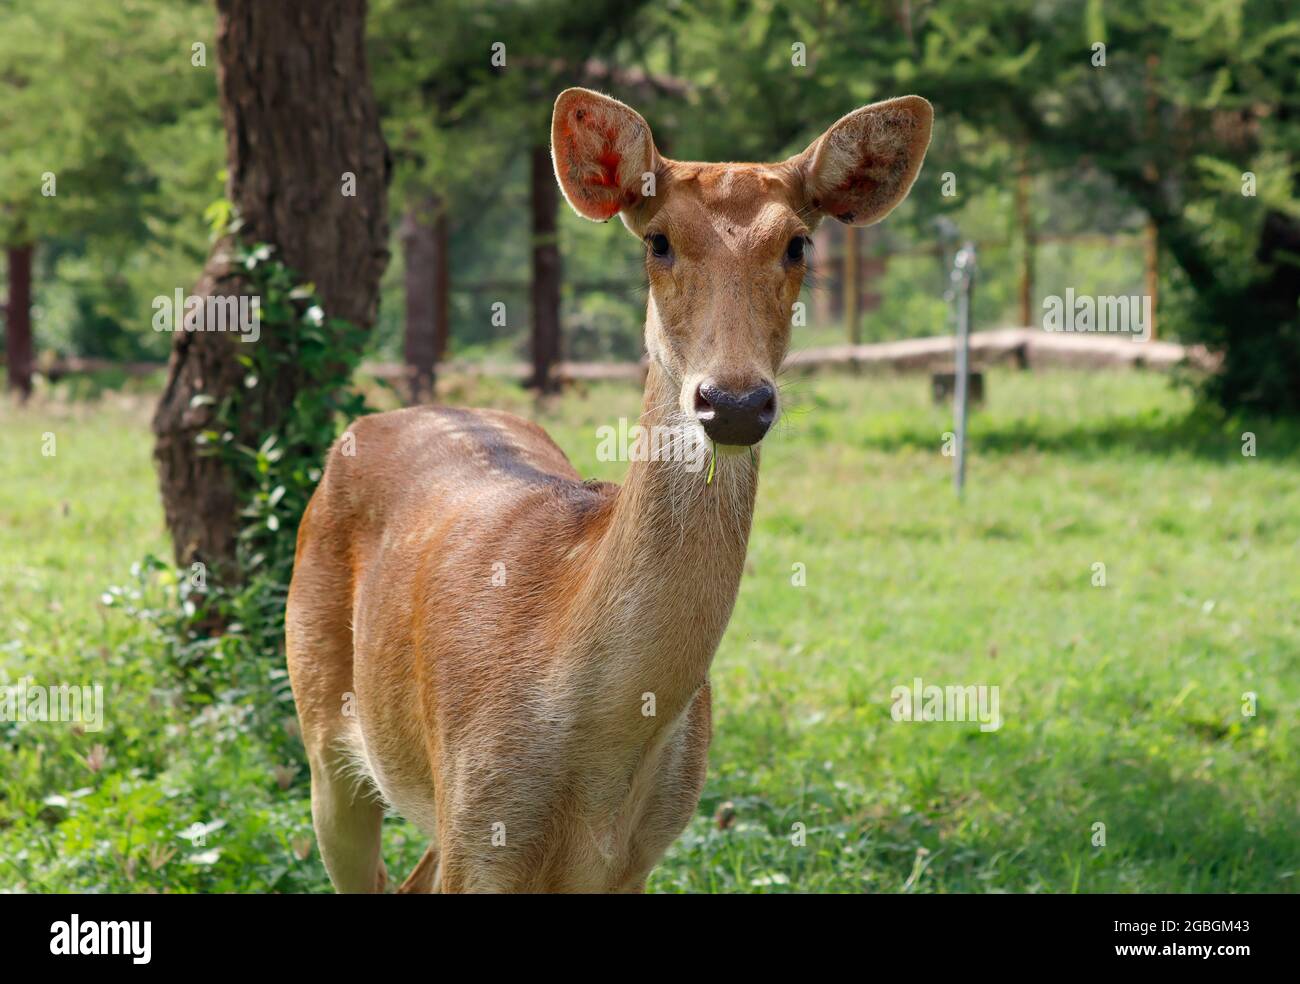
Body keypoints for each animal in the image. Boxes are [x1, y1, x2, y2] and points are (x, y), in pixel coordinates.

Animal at [285, 87, 932, 893]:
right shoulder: (478, 826)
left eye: (797, 244)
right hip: (322, 724)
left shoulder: (637, 853)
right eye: (657, 240)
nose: (734, 401)